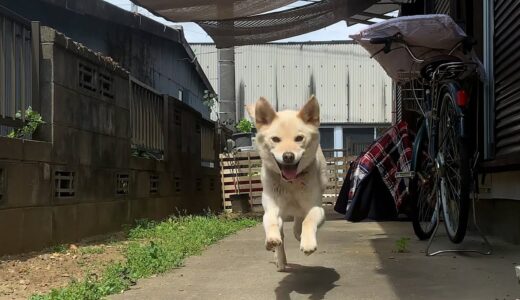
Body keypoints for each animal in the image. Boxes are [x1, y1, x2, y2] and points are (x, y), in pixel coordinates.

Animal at [247, 96, 328, 272]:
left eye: (299, 138)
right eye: (275, 139)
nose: (288, 156)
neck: (291, 182)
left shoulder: (317, 208)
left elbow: (308, 220)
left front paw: (307, 242)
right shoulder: (272, 209)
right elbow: (271, 221)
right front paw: (271, 239)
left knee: (298, 222)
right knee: (282, 236)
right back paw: (279, 259)